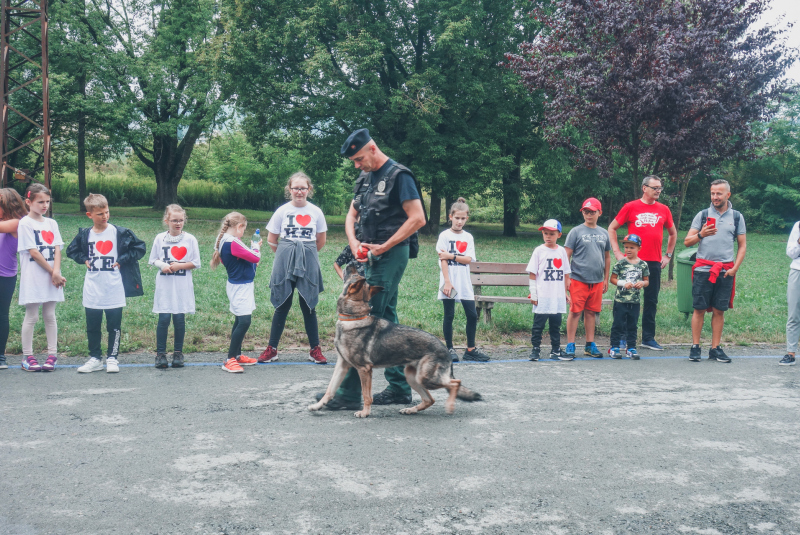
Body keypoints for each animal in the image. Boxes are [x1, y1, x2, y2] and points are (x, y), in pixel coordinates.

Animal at [310, 266, 478, 418]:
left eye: (355, 275)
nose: (352, 263)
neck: (353, 318)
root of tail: (445, 349)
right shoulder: (342, 366)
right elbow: (330, 390)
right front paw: (318, 406)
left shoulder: (364, 369)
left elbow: (366, 395)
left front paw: (365, 412)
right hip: (412, 377)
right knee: (430, 399)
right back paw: (410, 410)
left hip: (426, 378)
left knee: (455, 383)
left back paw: (449, 406)